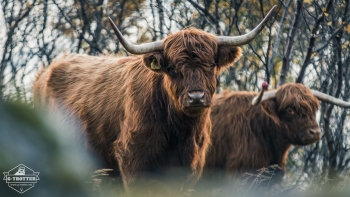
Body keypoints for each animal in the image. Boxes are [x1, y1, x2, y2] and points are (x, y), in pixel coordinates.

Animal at [32, 6, 276, 190]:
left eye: (211, 65)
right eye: (173, 69)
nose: (196, 97)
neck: (178, 132)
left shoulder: (191, 165)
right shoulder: (132, 160)